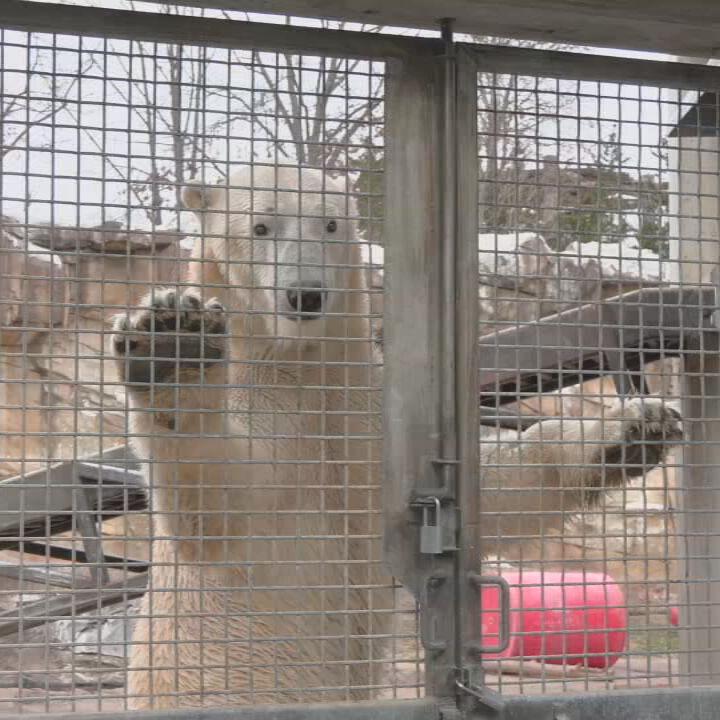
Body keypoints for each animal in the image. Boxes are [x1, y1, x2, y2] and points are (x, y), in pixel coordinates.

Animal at [111, 163, 680, 708]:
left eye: (330, 224)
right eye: (261, 226)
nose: (306, 294)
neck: (298, 365)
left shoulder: (368, 426)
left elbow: (491, 491)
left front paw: (634, 427)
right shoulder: (267, 418)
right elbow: (223, 494)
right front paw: (170, 348)